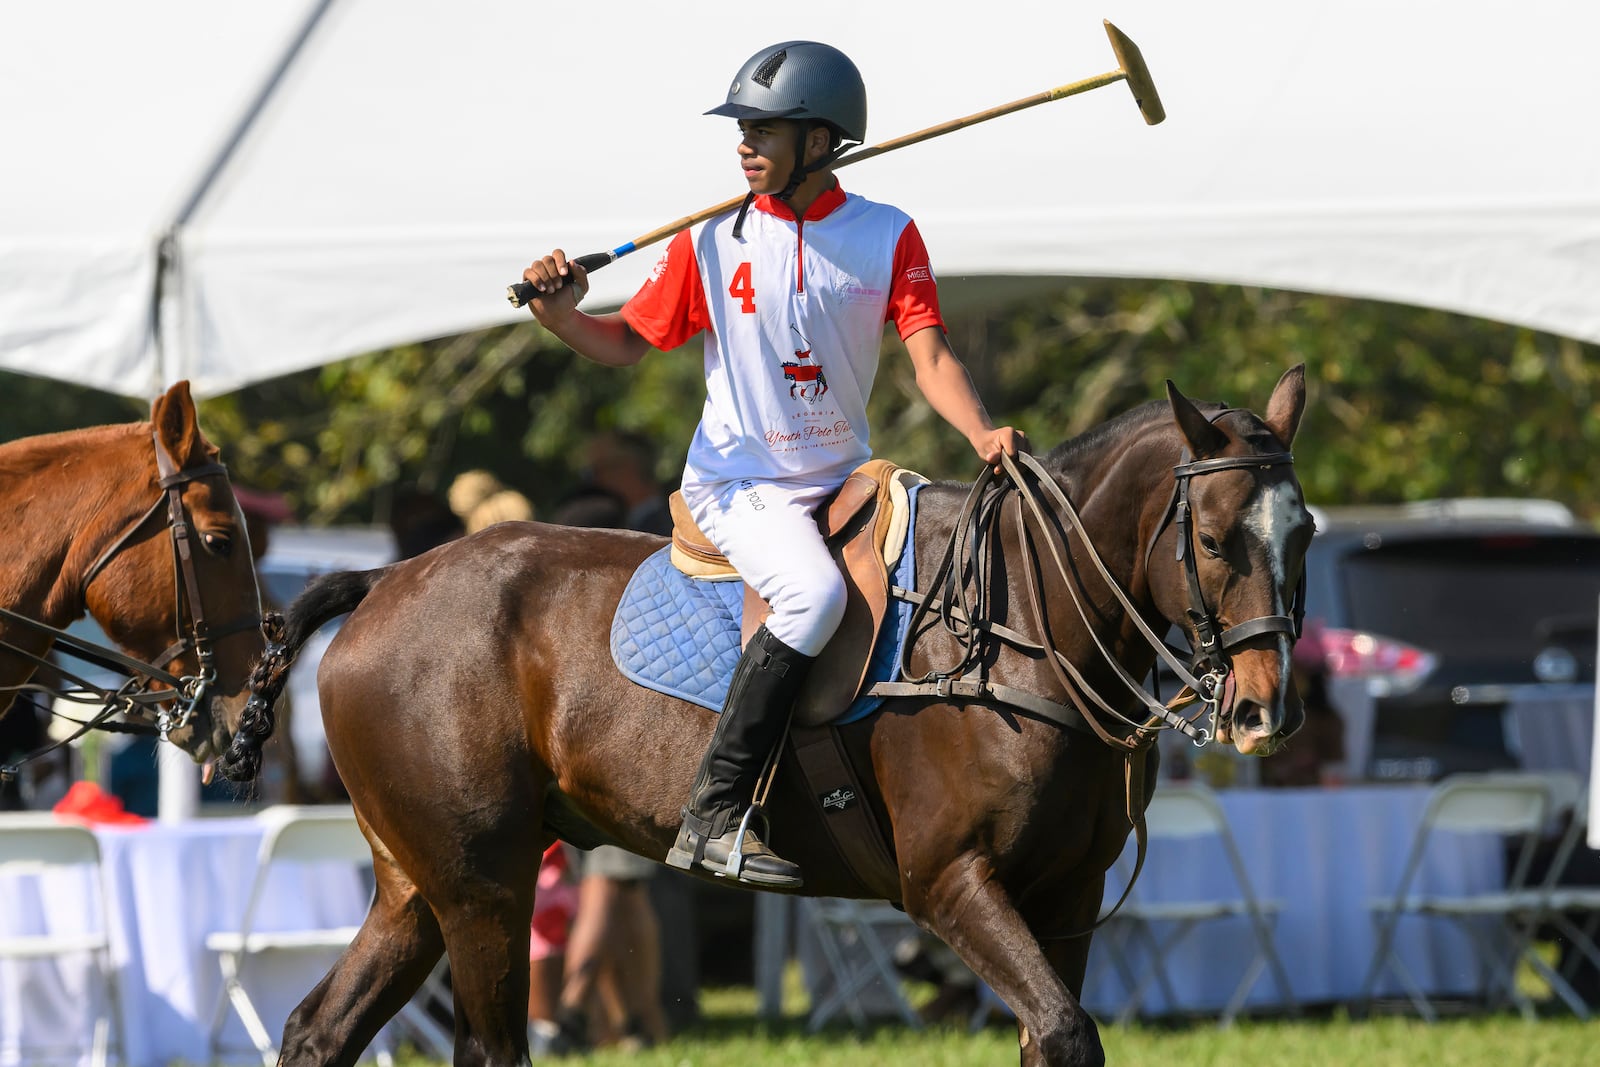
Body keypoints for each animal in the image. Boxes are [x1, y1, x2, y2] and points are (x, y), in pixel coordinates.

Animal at [222, 367, 1312, 1067]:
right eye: (1214, 539)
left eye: (1302, 533)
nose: (1266, 709)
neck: (1019, 627)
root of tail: (381, 582)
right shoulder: (951, 883)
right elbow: (1064, 1031)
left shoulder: (1067, 896)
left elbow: (1051, 1036)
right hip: (483, 883)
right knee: (486, 1049)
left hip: (420, 883)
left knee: (318, 1029)